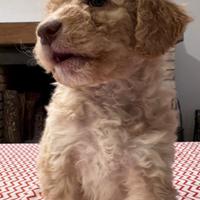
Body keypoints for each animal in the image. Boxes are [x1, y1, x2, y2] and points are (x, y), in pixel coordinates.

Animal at [34, 0, 191, 199]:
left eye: (97, 2)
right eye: (52, 8)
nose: (44, 30)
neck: (106, 96)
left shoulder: (148, 163)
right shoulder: (60, 159)